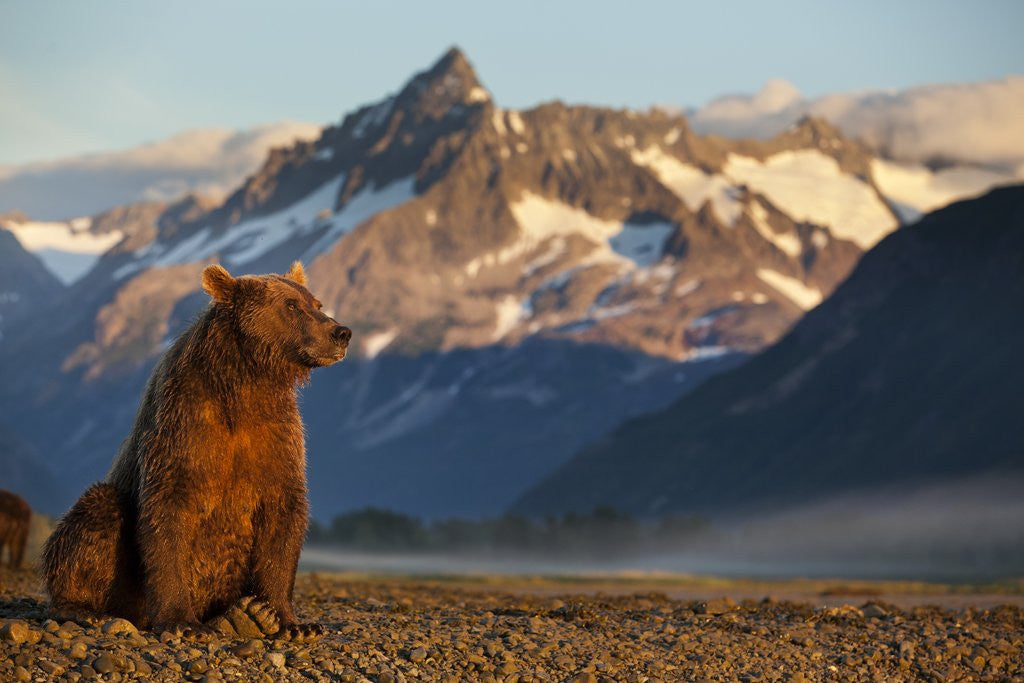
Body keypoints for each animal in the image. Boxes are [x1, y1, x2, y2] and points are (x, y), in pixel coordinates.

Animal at [42, 261, 350, 641]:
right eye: (291, 306)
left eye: (316, 303)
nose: (341, 332)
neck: (247, 382)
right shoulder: (184, 426)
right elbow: (168, 512)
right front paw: (182, 622)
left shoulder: (277, 436)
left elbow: (284, 515)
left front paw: (291, 621)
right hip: (122, 568)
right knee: (96, 514)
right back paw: (82, 609)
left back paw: (243, 616)